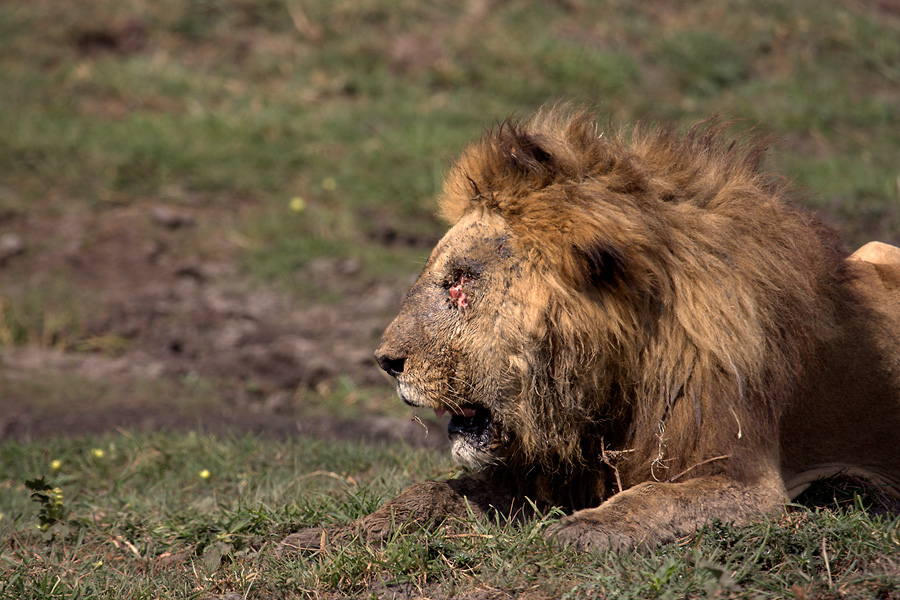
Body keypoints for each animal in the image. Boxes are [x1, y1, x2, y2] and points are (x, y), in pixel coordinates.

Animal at [284, 104, 900, 552]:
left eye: (460, 282)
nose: (385, 361)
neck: (617, 374)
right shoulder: (544, 473)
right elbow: (431, 492)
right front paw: (326, 535)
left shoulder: (743, 477)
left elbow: (656, 497)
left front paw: (586, 529)